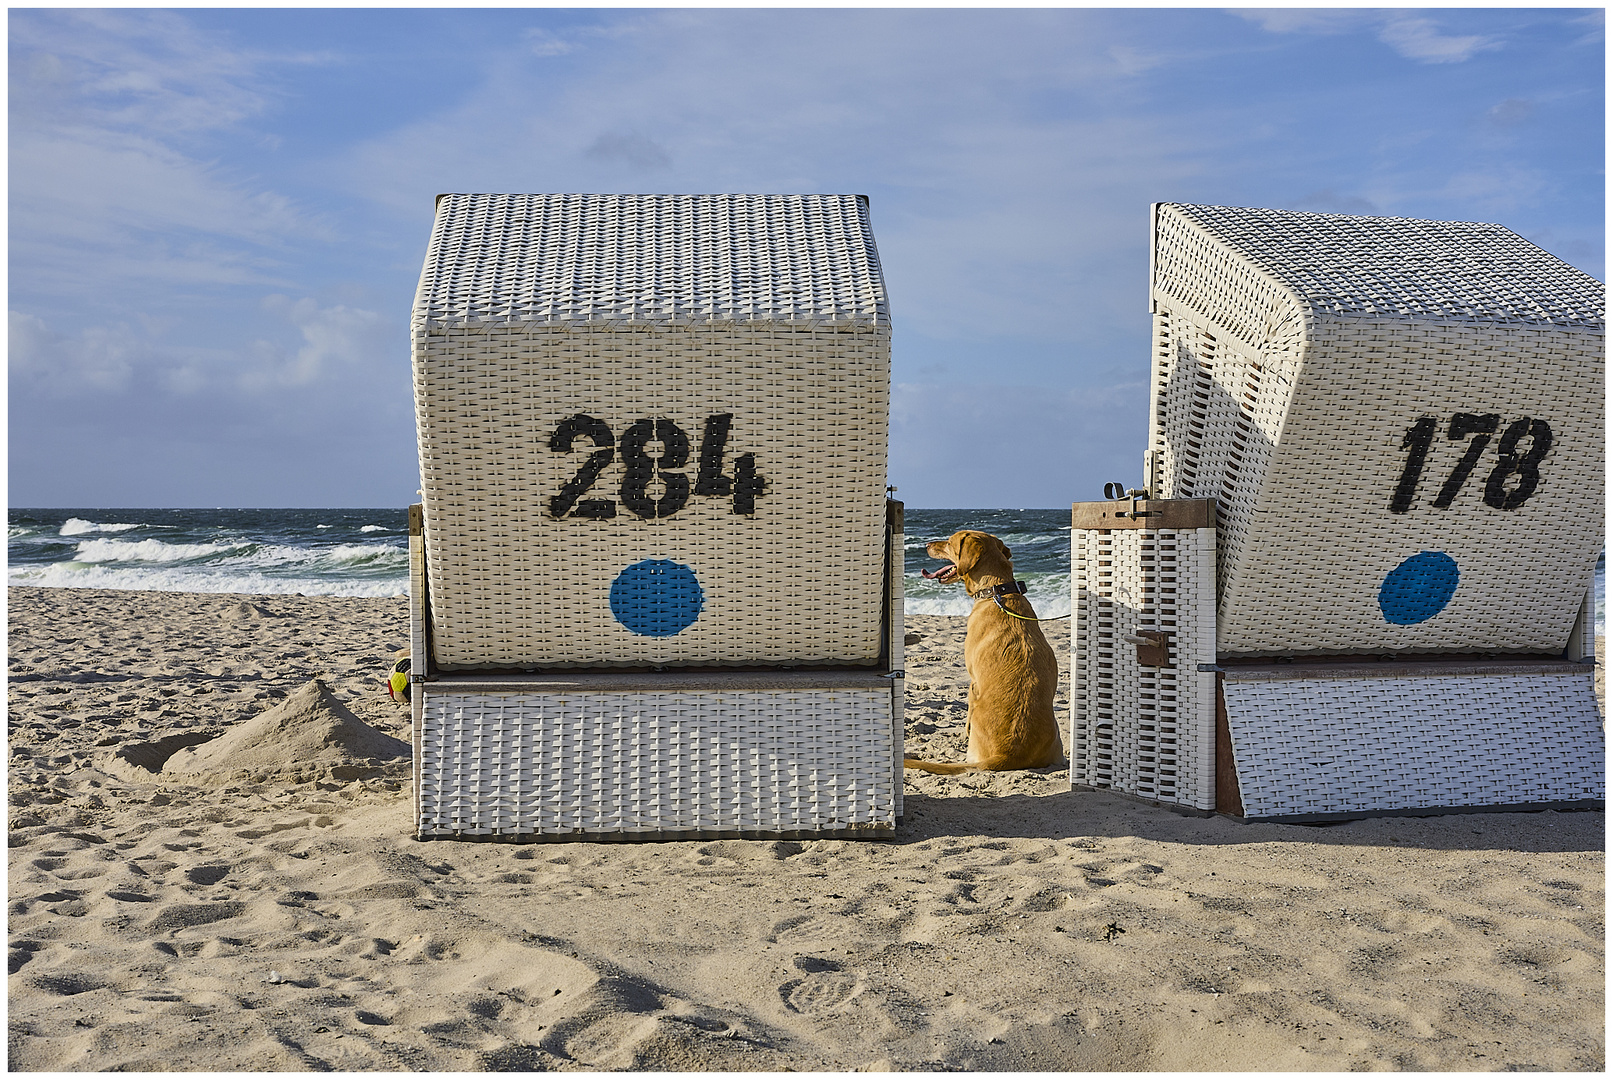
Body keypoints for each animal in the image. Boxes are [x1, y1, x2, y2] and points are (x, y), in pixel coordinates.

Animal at [903, 531, 1064, 770]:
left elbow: (967, 714)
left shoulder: (972, 681)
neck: (997, 592)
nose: (927, 544)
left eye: (949, 541)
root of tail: (1009, 755)